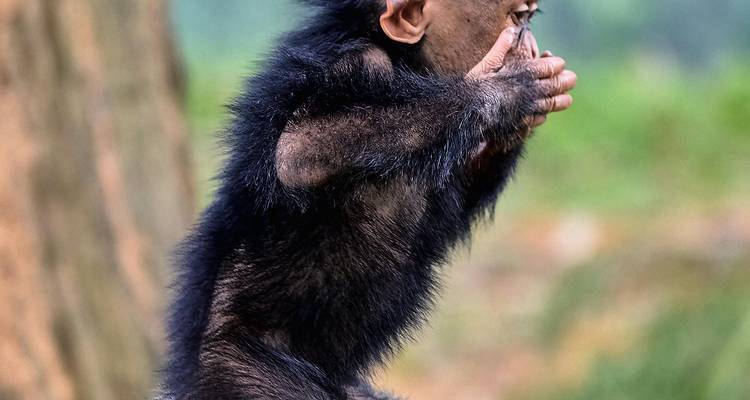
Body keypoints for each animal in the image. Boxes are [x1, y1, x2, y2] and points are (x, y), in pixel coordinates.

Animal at [161, 0, 576, 399]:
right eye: (518, 17)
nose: (530, 42)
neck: (407, 61)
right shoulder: (355, 65)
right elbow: (300, 148)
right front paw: (506, 91)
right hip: (242, 372)